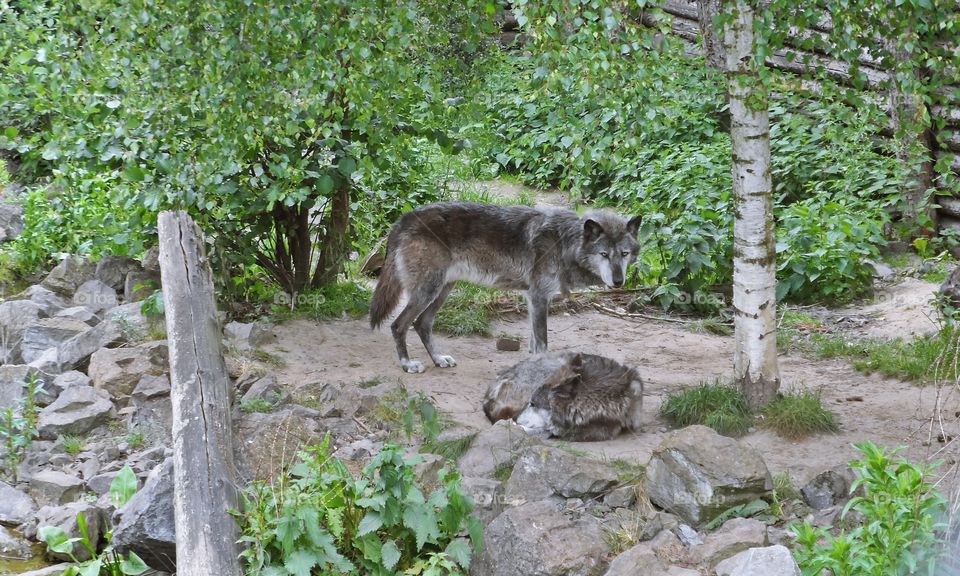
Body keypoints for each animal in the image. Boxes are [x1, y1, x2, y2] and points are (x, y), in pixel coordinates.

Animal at [369, 202, 641, 373]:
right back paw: (407, 364)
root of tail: (405, 218)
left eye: (624, 254)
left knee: (421, 324)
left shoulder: (535, 300)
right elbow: (542, 344)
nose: (619, 282)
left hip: (442, 290)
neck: (565, 243)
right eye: (604, 254)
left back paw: (438, 359)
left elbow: (534, 345)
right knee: (398, 325)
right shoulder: (538, 297)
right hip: (428, 291)